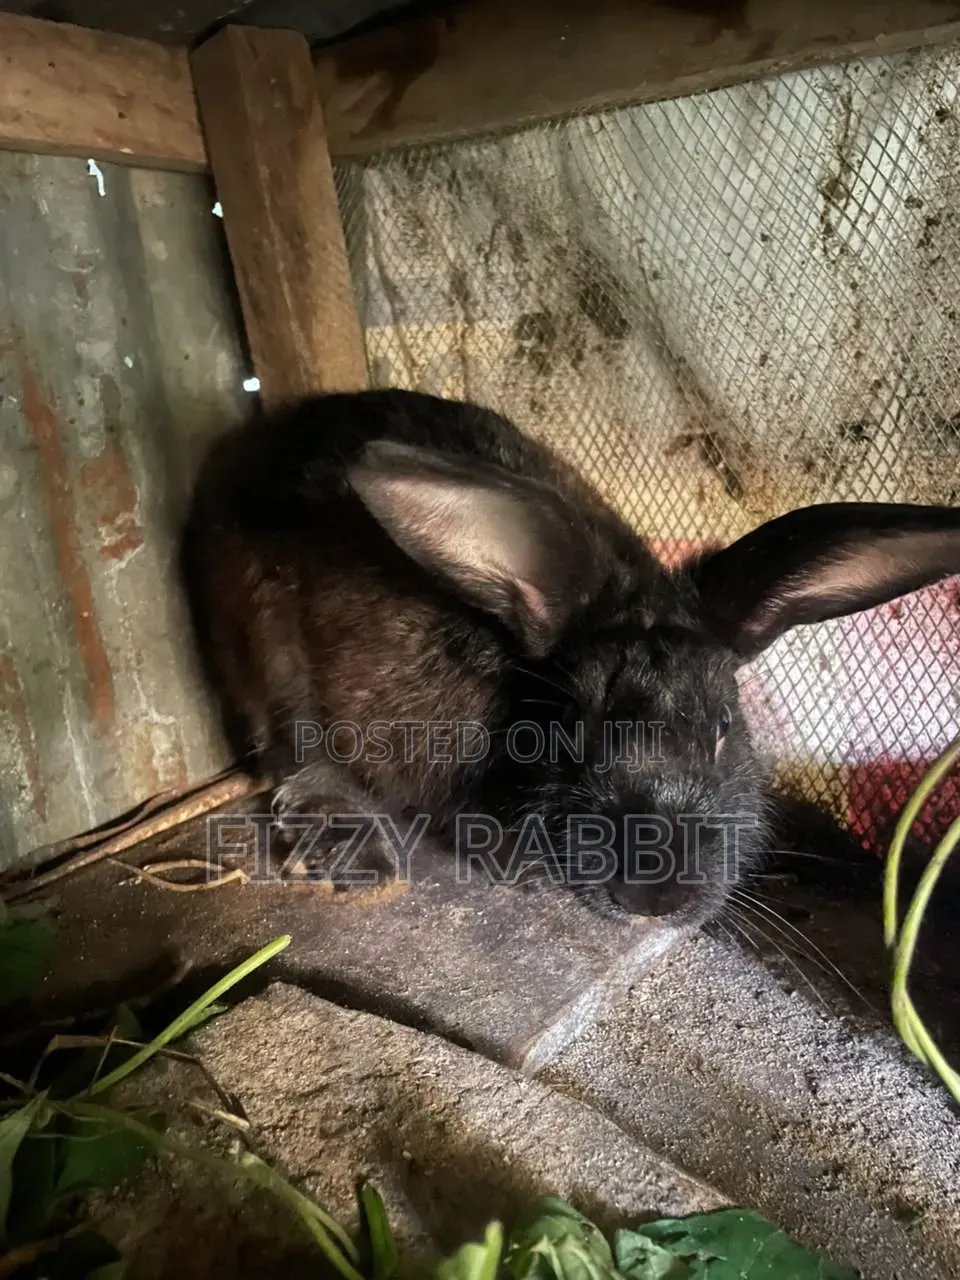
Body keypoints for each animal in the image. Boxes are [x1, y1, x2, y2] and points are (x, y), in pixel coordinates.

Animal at [179, 387, 960, 928]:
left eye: (724, 729)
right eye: (575, 730)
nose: (654, 895)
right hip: (264, 635)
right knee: (296, 749)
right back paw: (356, 851)